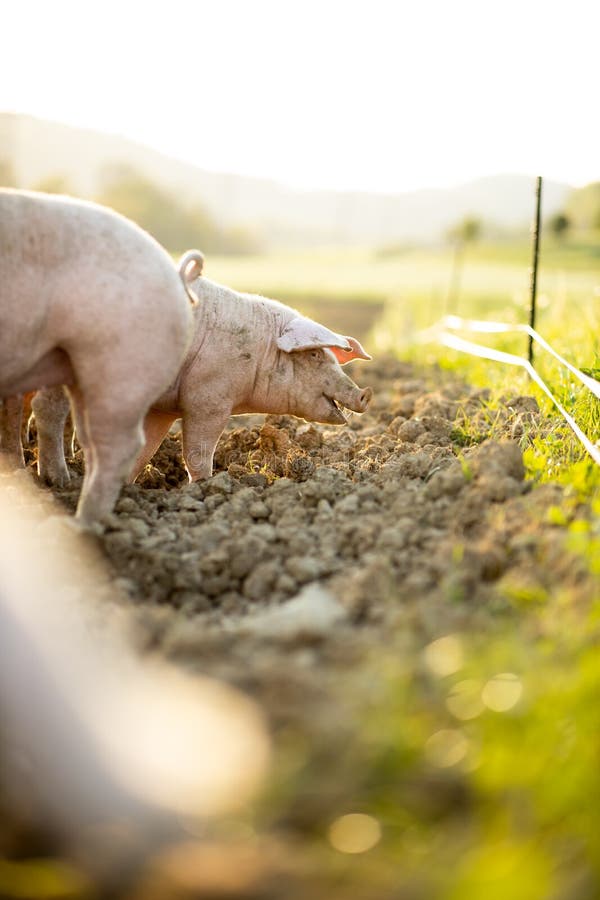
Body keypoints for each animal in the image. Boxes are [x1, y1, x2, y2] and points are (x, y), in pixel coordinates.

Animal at [26, 250, 373, 485]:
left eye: (331, 357)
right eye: (314, 356)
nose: (365, 394)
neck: (259, 352)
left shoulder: (163, 409)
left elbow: (146, 447)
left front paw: (129, 485)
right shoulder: (208, 399)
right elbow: (197, 451)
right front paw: (205, 487)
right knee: (46, 410)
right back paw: (58, 480)